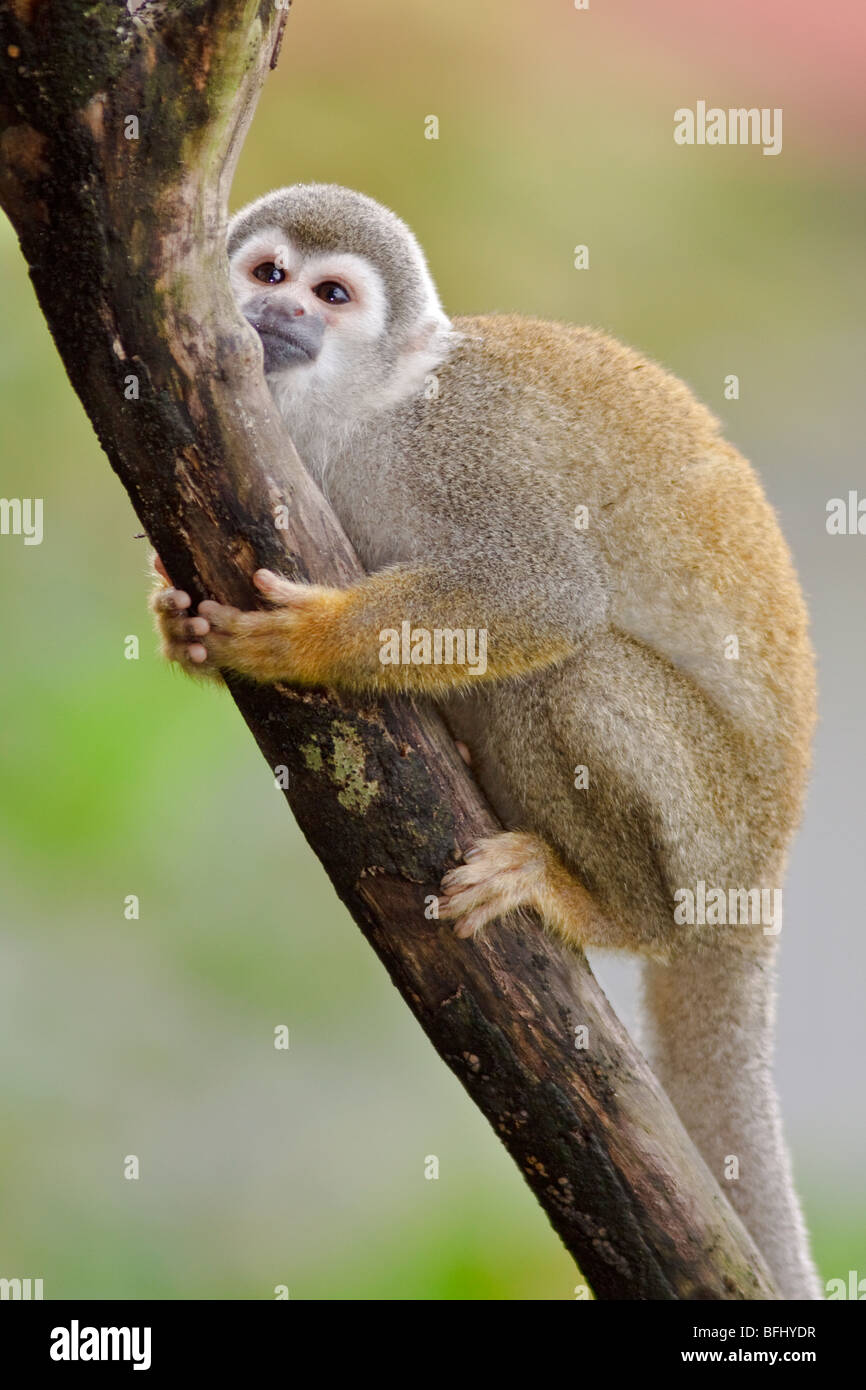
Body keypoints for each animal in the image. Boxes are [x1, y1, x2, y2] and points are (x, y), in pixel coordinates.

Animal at [152, 184, 822, 1301]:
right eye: (268, 273)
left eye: (331, 295)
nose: (277, 314)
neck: (362, 418)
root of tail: (760, 882)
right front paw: (175, 618)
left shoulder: (456, 447)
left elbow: (546, 593)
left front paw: (316, 640)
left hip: (711, 828)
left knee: (572, 675)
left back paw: (603, 905)